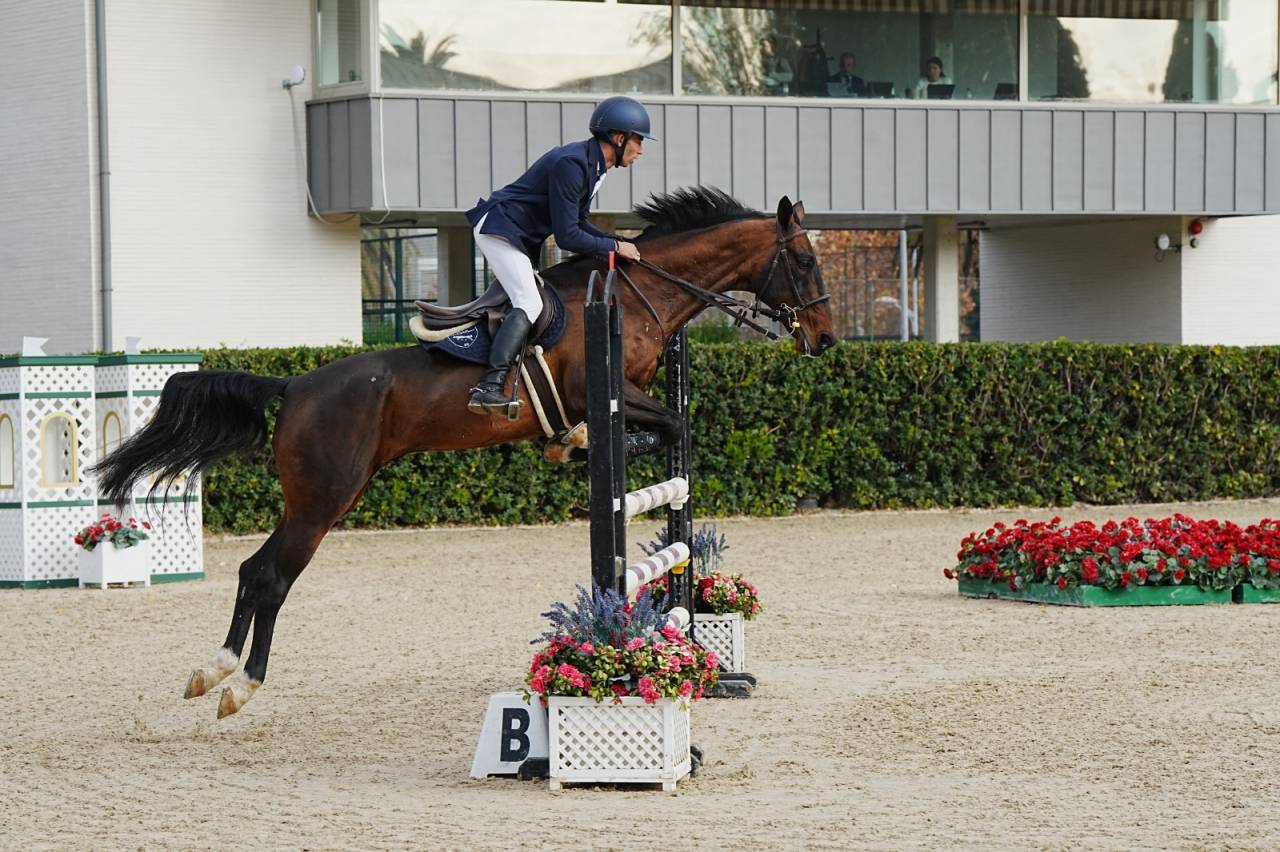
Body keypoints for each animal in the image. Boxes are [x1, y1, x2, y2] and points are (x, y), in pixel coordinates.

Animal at [94, 187, 838, 719]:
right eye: (803, 261)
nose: (827, 339)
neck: (639, 293)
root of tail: (295, 384)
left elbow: (668, 434)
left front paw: (572, 448)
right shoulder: (603, 391)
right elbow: (673, 430)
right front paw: (579, 445)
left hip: (324, 496)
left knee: (255, 571)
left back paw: (214, 672)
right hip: (323, 499)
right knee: (270, 576)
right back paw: (237, 683)